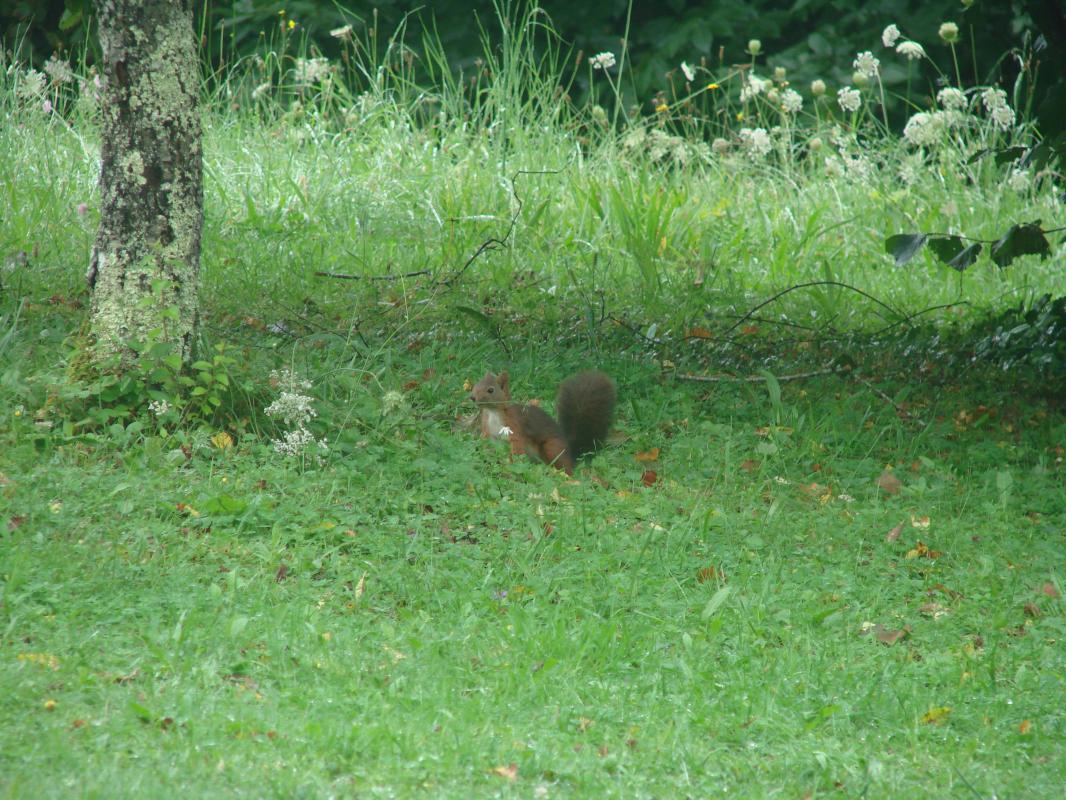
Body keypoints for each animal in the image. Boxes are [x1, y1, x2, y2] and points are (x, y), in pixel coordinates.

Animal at [469, 370, 616, 476]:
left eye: (491, 390)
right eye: (476, 385)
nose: (472, 397)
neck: (492, 412)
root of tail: (571, 453)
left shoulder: (515, 426)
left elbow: (517, 446)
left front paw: (512, 464)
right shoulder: (488, 431)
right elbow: (486, 444)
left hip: (552, 447)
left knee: (565, 467)